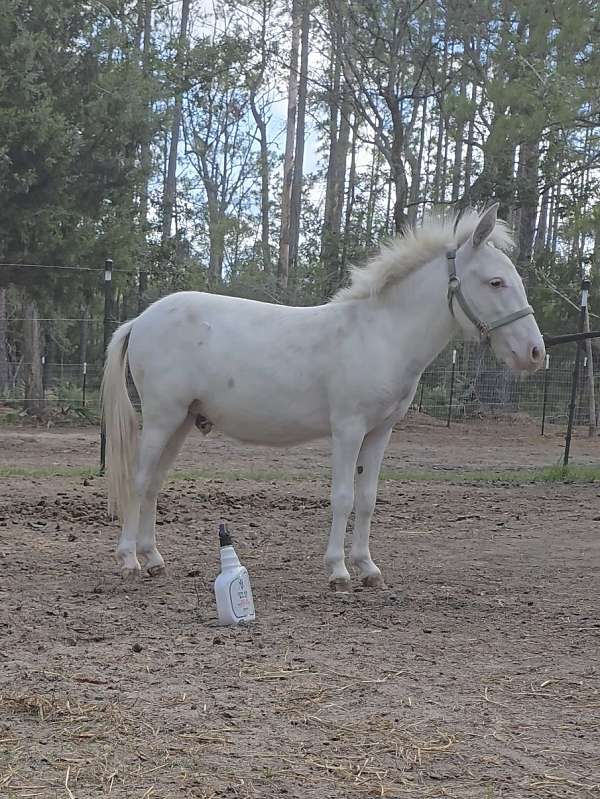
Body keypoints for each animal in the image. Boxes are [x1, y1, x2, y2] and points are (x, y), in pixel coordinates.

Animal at [101, 204, 545, 591]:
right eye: (495, 282)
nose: (536, 353)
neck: (380, 335)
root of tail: (141, 319)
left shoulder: (380, 432)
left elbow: (367, 499)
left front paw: (368, 567)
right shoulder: (348, 429)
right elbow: (343, 497)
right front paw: (339, 571)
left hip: (181, 422)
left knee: (154, 483)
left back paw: (154, 559)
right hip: (162, 418)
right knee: (139, 480)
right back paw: (129, 560)